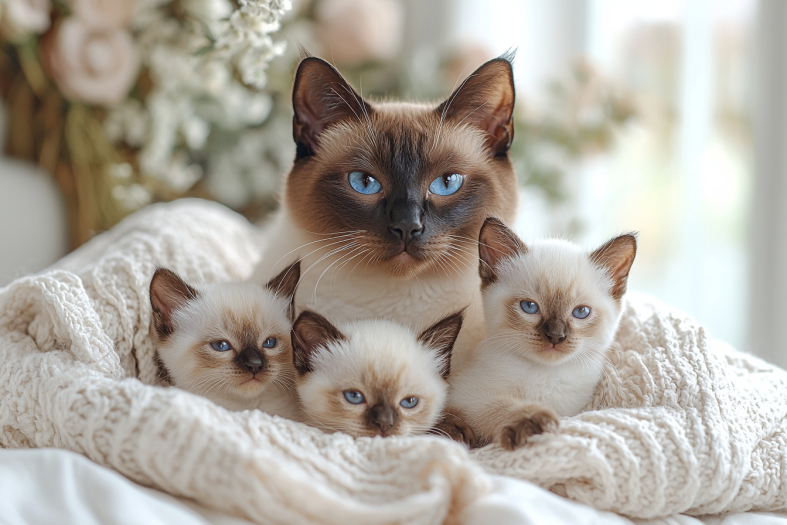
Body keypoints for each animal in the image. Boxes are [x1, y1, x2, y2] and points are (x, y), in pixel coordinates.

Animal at [446, 219, 636, 448]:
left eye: (581, 312)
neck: (545, 375)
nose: (555, 336)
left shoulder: (572, 410)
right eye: (529, 307)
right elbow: (497, 406)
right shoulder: (466, 396)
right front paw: (532, 422)